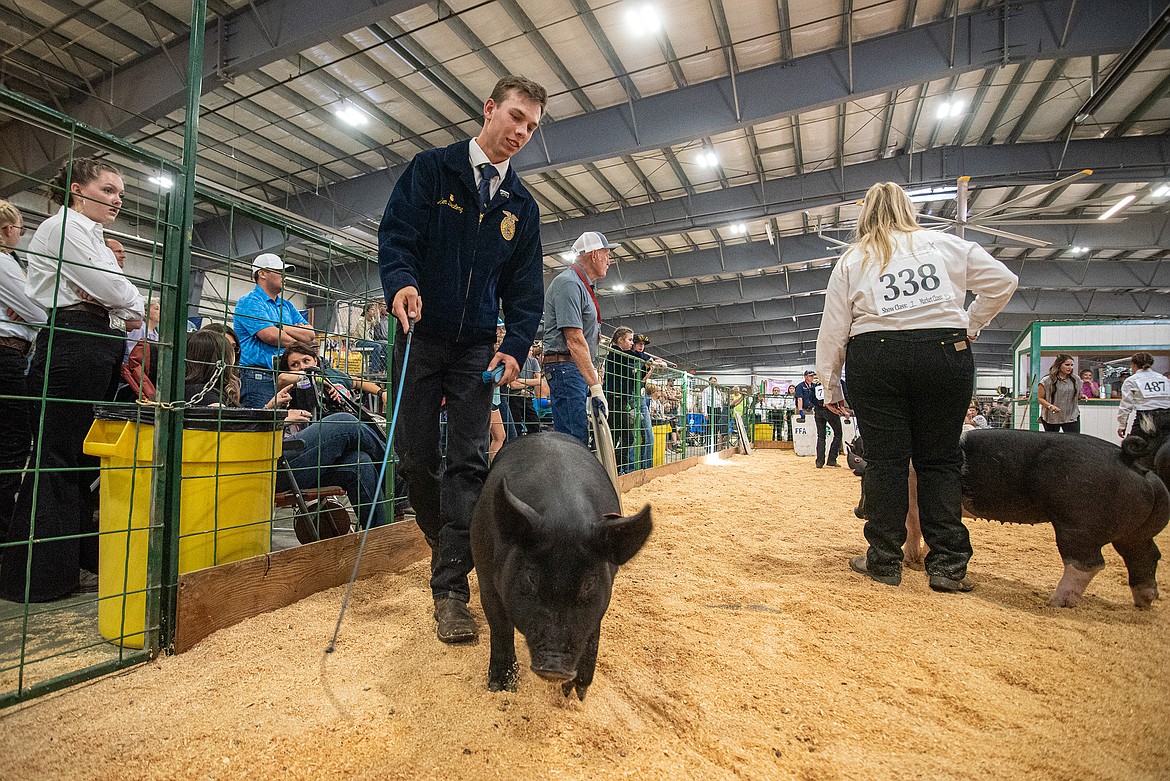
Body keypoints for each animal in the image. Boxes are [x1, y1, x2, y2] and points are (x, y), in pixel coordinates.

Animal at [470, 437, 655, 696]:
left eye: (588, 583)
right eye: (531, 578)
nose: (554, 669)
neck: (563, 513)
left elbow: (593, 633)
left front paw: (577, 693)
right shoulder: (486, 576)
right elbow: (500, 627)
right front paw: (500, 687)